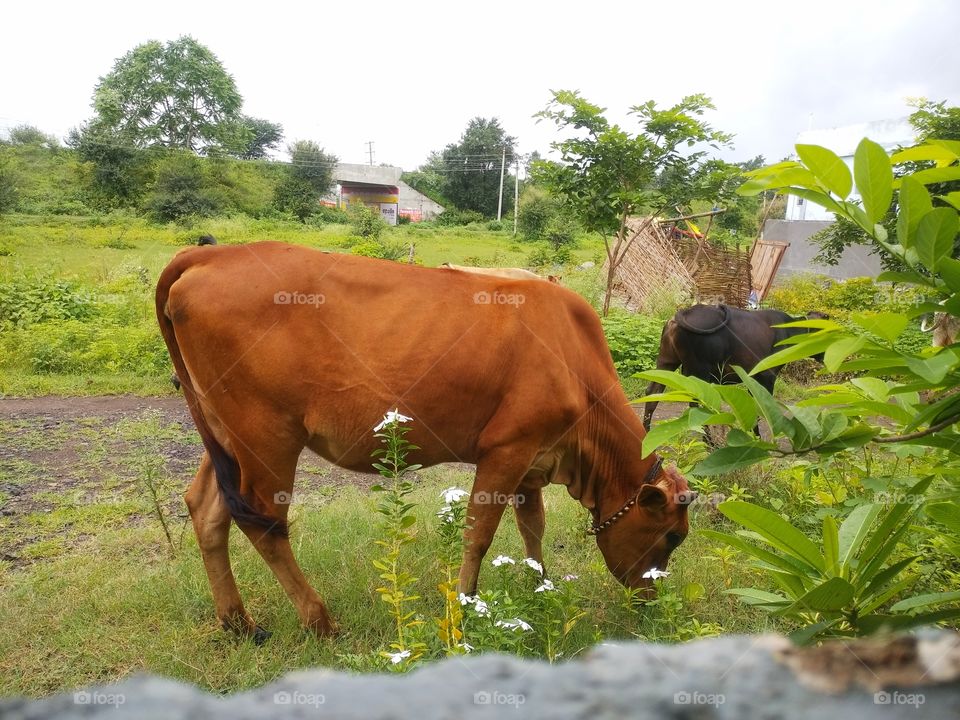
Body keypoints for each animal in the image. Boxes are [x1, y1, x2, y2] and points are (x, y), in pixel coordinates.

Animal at [156, 242, 695, 641]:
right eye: (673, 536)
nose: (652, 602)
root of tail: (210, 254)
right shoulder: (507, 448)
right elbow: (478, 535)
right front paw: (464, 610)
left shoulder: (535, 458)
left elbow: (532, 528)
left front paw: (538, 586)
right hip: (266, 432)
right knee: (263, 519)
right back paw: (320, 621)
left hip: (223, 431)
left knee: (206, 507)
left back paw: (238, 623)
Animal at [642, 304, 825, 431]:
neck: (790, 330)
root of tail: (684, 312)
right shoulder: (767, 376)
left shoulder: (753, 379)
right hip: (699, 370)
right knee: (697, 405)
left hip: (666, 362)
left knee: (652, 393)